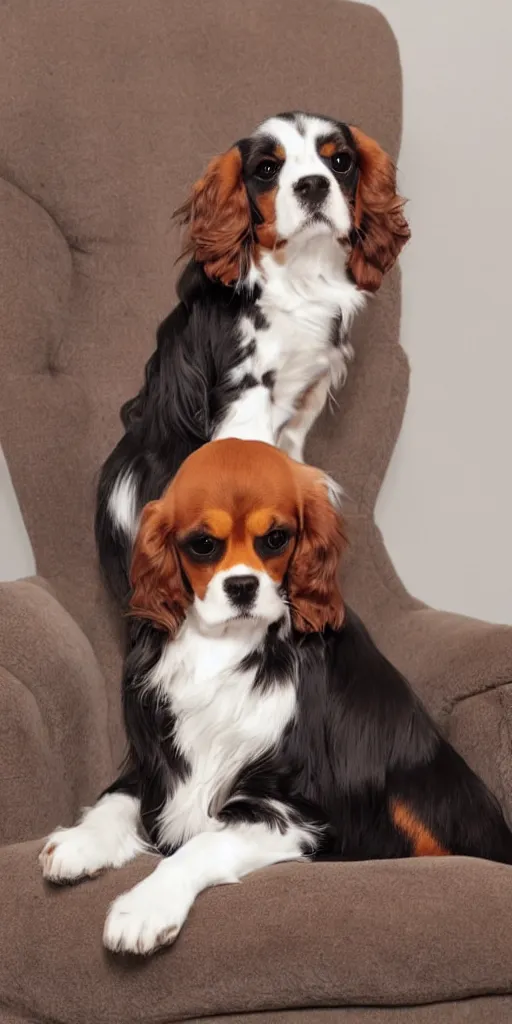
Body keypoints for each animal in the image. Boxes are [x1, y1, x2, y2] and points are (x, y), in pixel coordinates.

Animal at [40, 440, 512, 958]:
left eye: (276, 539)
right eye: (202, 544)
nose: (242, 585)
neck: (224, 646)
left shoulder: (294, 812)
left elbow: (202, 845)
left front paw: (144, 907)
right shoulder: (159, 759)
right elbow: (118, 796)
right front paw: (79, 842)